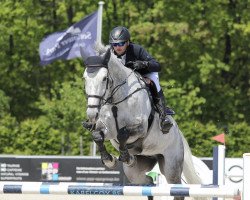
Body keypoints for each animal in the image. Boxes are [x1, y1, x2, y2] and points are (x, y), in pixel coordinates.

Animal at [82, 45, 207, 200]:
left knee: (177, 187)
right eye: (84, 78)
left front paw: (124, 156)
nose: (92, 113)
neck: (117, 99)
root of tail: (178, 133)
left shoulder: (140, 128)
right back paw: (135, 166)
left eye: (104, 78)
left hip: (171, 165)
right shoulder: (108, 129)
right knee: (147, 181)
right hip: (137, 169)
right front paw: (109, 160)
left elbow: (122, 134)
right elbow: (98, 136)